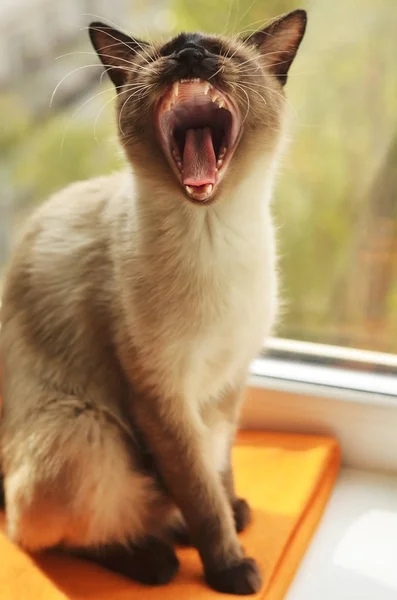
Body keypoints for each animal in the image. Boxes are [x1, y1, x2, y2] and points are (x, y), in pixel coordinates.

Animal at [0, 10, 306, 596]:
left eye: (217, 52)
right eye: (167, 53)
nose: (188, 54)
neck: (216, 234)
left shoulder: (229, 381)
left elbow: (217, 467)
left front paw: (233, 515)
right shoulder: (163, 398)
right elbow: (199, 492)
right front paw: (229, 567)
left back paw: (184, 530)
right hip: (85, 432)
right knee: (41, 534)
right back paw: (153, 560)